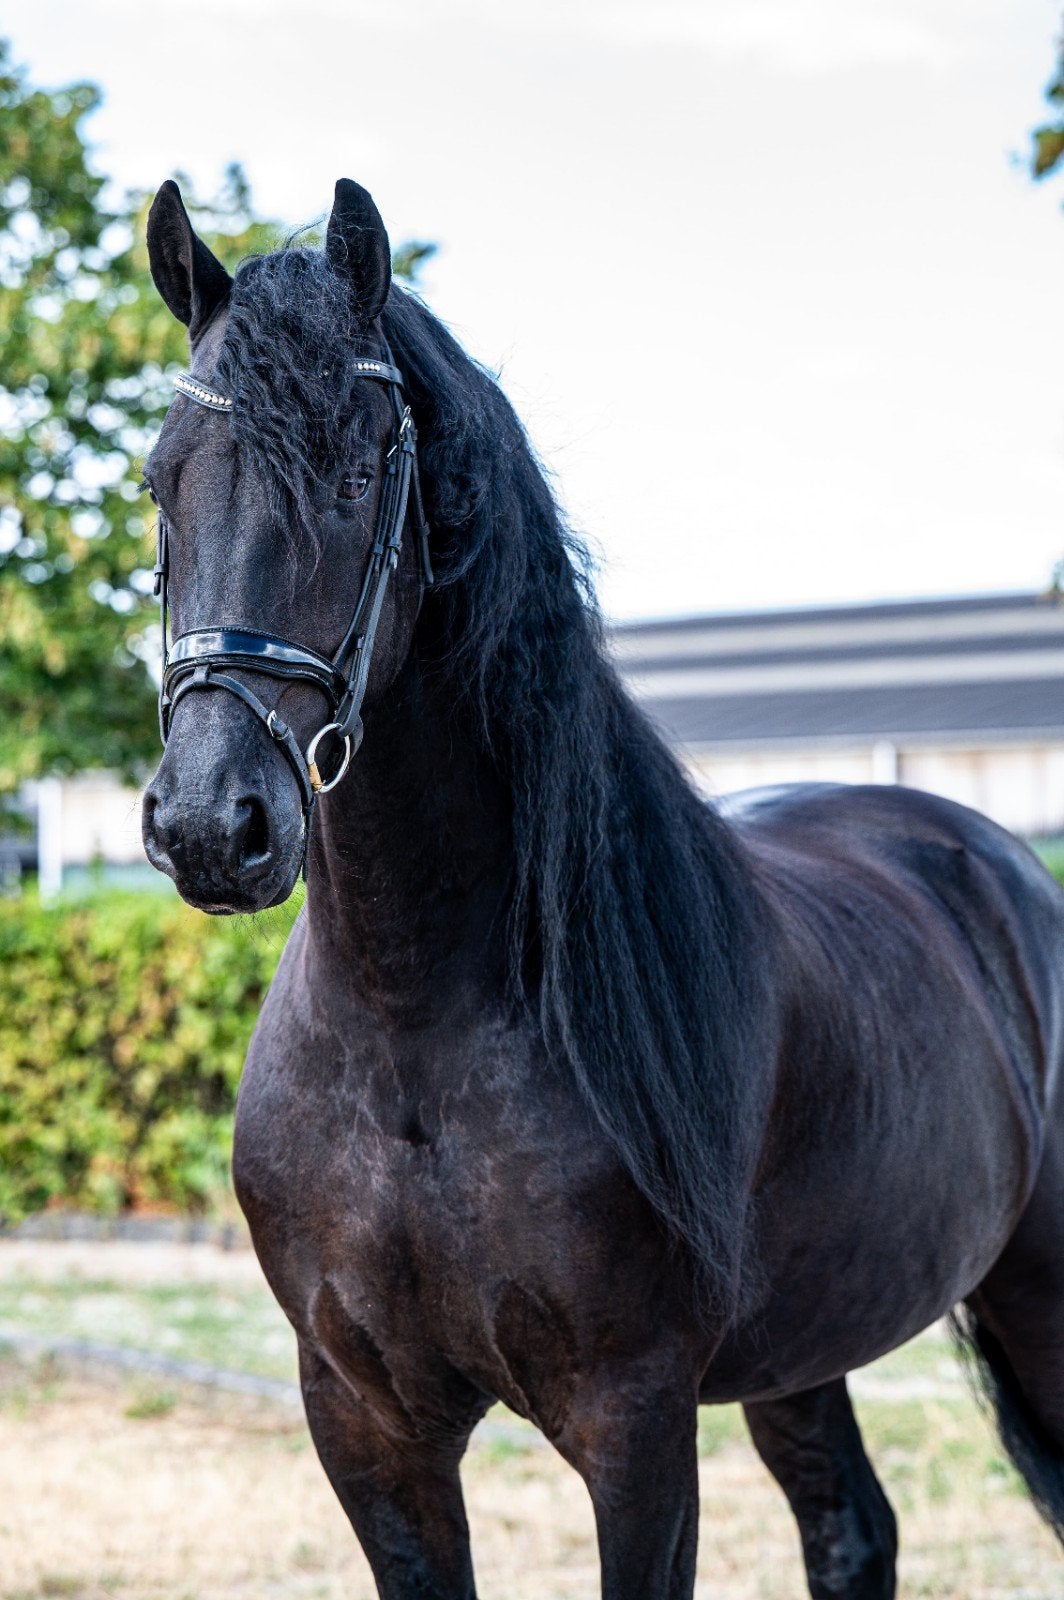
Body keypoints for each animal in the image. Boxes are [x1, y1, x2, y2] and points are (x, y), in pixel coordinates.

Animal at [139, 176, 1064, 1599]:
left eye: (355, 475)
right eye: (162, 481)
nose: (208, 825)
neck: (415, 1023)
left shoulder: (631, 1421)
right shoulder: (365, 1421)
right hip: (806, 1345)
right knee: (851, 1530)